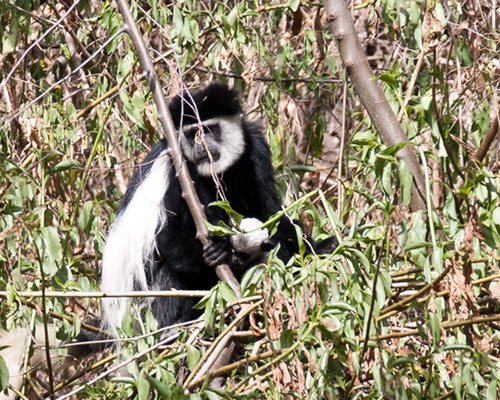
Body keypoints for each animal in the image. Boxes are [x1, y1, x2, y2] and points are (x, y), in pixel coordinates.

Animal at [100, 83, 336, 334]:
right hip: (147, 305)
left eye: (209, 129)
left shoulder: (255, 148)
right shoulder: (178, 168)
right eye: (191, 133)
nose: (201, 145)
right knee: (171, 273)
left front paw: (319, 247)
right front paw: (220, 251)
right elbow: (168, 238)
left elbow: (270, 213)